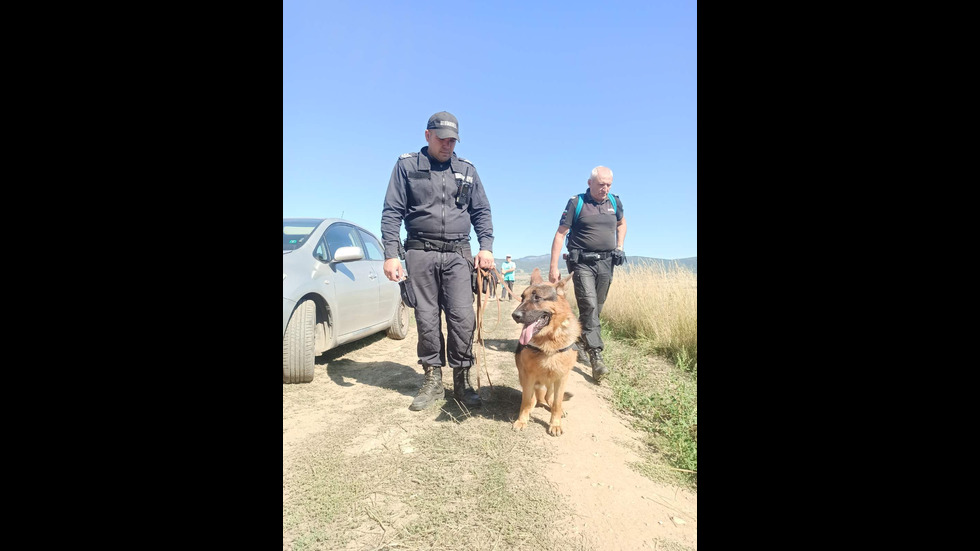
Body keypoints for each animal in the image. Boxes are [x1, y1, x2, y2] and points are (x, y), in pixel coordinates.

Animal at [510, 268, 580, 436]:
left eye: (537, 297)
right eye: (522, 297)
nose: (515, 315)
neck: (549, 341)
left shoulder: (562, 378)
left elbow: (557, 402)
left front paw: (555, 423)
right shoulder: (528, 376)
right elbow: (526, 401)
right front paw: (522, 420)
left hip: (552, 383)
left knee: (550, 398)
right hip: (529, 381)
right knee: (535, 398)